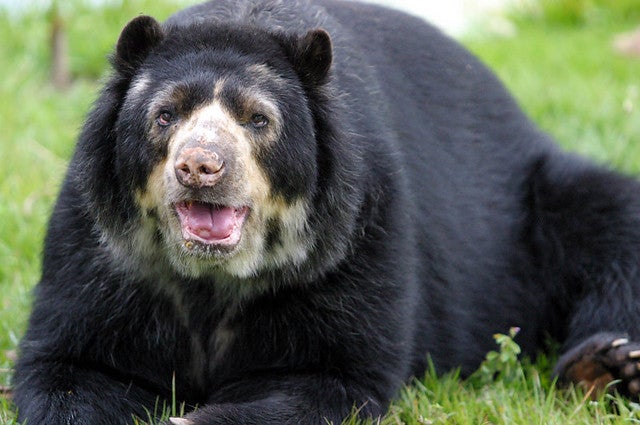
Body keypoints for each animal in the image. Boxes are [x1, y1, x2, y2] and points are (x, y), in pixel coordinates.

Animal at [13, 0, 640, 423]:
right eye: (165, 115)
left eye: (258, 119)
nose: (200, 166)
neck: (212, 278)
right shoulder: (100, 248)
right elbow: (69, 363)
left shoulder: (354, 239)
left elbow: (330, 375)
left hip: (539, 201)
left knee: (612, 224)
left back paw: (607, 367)